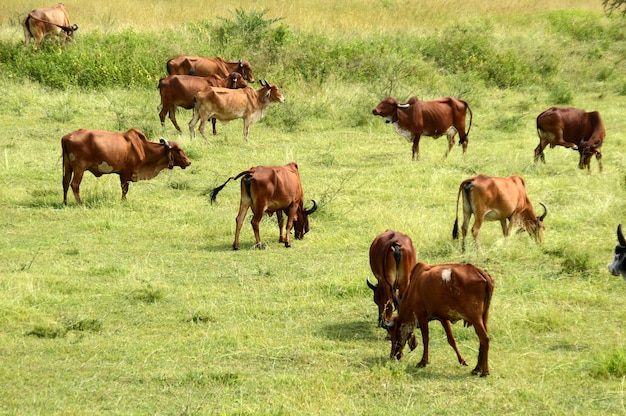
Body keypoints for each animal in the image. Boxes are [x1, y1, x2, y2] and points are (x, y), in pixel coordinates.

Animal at [63, 127, 191, 205]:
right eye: (178, 150)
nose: (189, 162)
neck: (143, 148)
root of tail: (66, 137)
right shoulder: (127, 172)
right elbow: (125, 188)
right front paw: (123, 201)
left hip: (67, 167)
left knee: (65, 183)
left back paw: (65, 202)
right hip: (79, 168)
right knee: (74, 185)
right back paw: (80, 203)